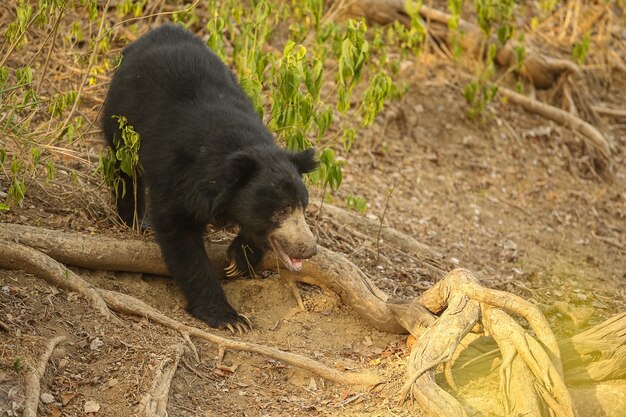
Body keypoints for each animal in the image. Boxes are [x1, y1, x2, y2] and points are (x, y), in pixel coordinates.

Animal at [103, 24, 316, 332]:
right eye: (282, 210)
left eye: (303, 207)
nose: (309, 249)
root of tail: (162, 29)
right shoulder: (177, 176)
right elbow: (180, 236)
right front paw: (229, 318)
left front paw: (239, 261)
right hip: (121, 118)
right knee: (125, 171)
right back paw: (132, 219)